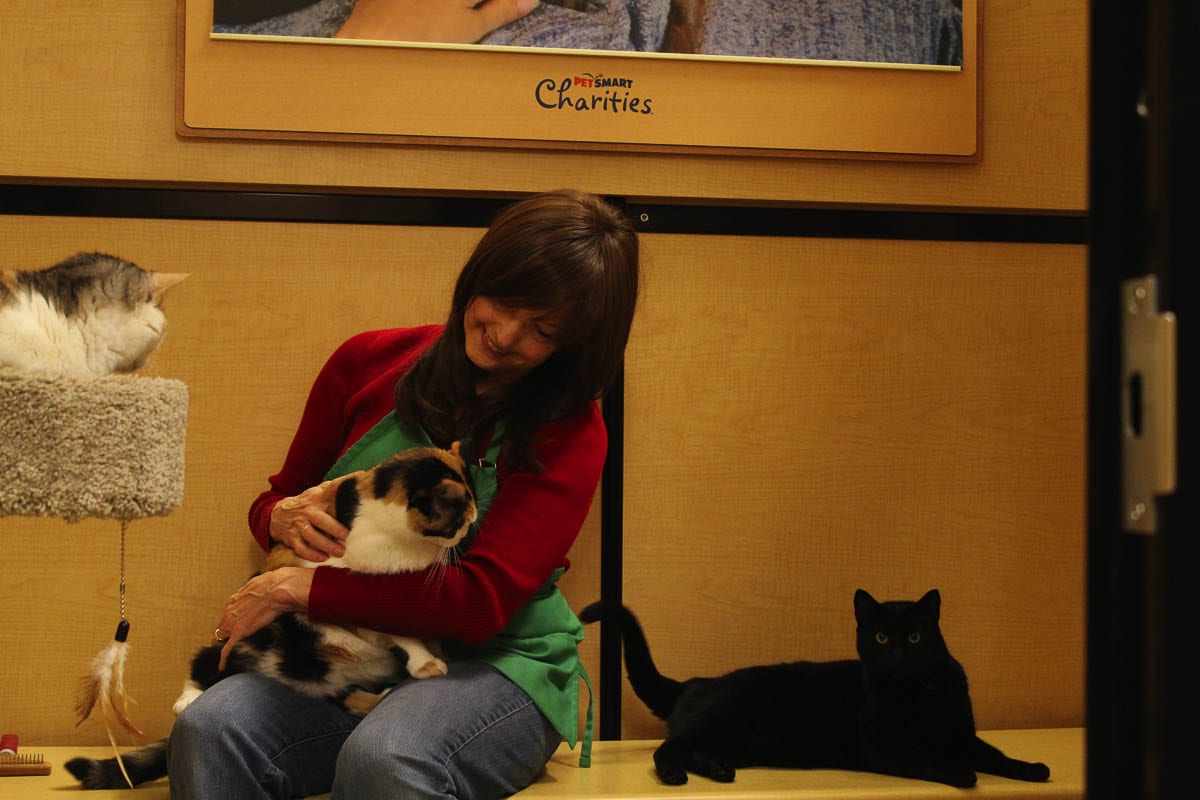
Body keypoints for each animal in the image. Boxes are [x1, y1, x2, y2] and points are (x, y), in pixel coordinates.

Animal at [65, 443, 477, 796]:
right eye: (458, 520)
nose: (466, 533)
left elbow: (403, 630)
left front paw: (425, 661)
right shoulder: (321, 575)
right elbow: (385, 622)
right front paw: (425, 660)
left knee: (344, 695)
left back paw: (378, 695)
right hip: (245, 635)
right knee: (203, 664)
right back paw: (189, 700)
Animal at [580, 587, 1051, 786]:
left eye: (916, 637)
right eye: (881, 637)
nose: (897, 655)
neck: (918, 695)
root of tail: (695, 681)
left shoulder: (962, 734)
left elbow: (996, 755)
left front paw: (1032, 769)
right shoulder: (885, 749)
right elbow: (928, 763)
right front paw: (961, 774)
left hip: (737, 740)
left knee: (695, 750)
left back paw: (718, 770)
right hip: (716, 720)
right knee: (667, 749)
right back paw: (675, 775)